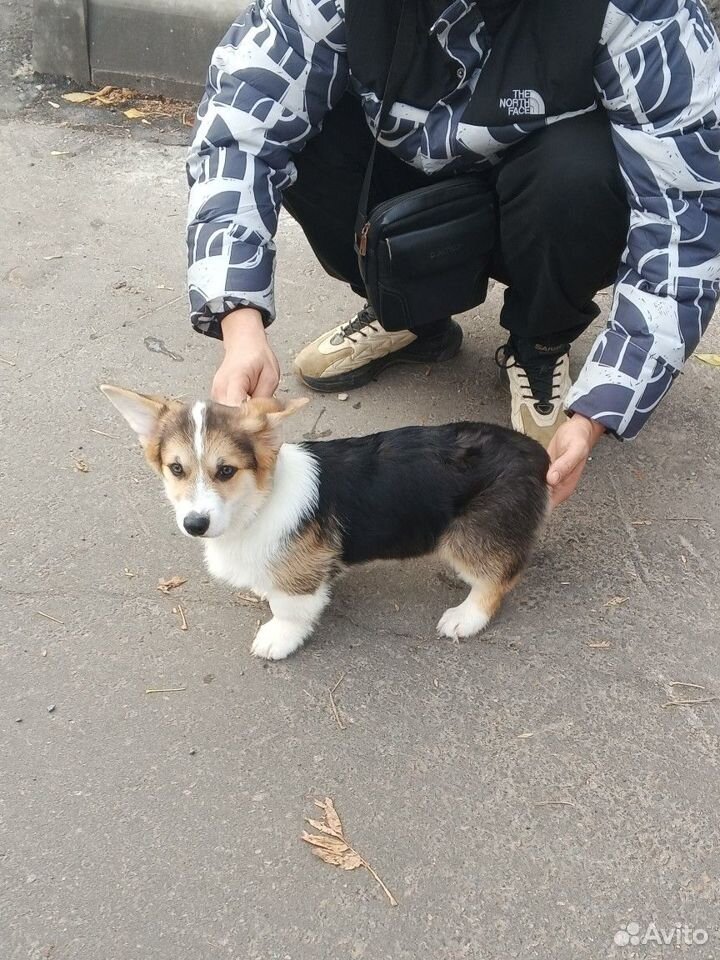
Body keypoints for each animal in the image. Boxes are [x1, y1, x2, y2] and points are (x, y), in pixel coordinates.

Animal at [102, 384, 552, 660]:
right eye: (176, 469)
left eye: (226, 471)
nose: (195, 524)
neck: (256, 504)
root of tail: (535, 452)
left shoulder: (300, 579)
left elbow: (289, 609)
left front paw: (277, 638)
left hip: (469, 538)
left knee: (499, 578)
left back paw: (465, 617)